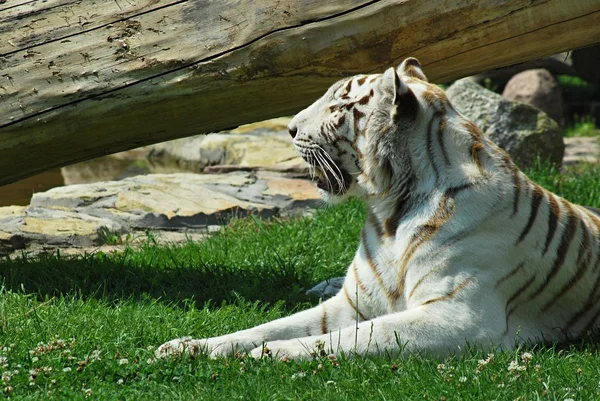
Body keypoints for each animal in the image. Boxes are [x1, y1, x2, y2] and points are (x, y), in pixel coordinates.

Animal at [157, 57, 600, 360]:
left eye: (338, 106)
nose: (289, 128)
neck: (389, 210)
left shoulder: (461, 317)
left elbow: (357, 336)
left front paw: (274, 353)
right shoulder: (353, 302)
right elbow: (266, 326)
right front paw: (188, 346)